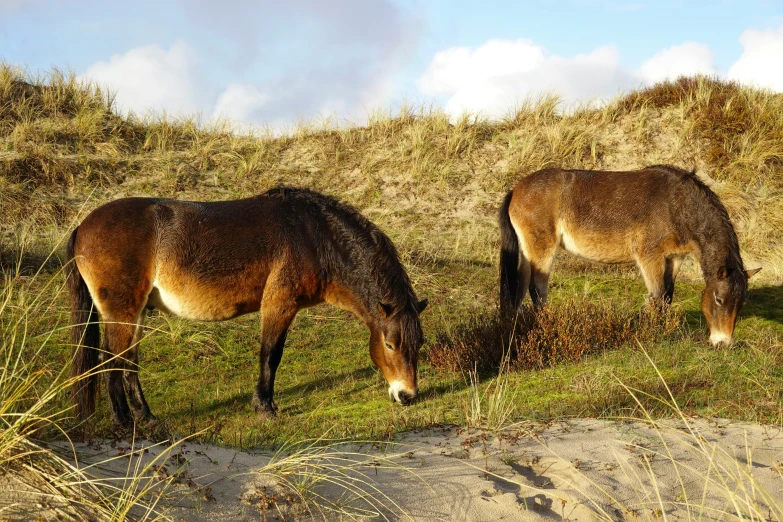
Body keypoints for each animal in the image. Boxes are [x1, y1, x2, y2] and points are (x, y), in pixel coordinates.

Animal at [69, 186, 428, 422]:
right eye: (390, 345)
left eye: (419, 344)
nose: (407, 396)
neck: (314, 236)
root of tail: (83, 226)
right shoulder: (279, 305)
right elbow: (270, 355)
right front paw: (265, 407)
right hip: (123, 312)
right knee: (110, 362)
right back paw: (124, 422)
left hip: (137, 313)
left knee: (128, 363)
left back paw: (146, 417)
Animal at [500, 166, 764, 346]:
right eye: (719, 300)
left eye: (741, 303)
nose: (723, 343)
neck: (677, 204)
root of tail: (516, 189)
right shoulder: (650, 257)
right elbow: (657, 294)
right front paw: (654, 331)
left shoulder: (674, 258)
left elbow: (667, 295)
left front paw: (662, 326)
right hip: (542, 249)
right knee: (537, 289)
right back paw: (545, 325)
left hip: (526, 253)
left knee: (519, 288)